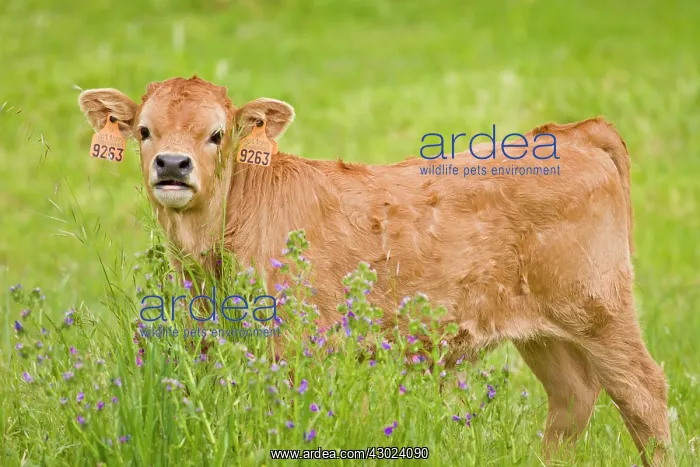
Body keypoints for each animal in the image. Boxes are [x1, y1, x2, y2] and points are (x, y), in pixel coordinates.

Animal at [78, 75, 671, 466]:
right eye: (145, 131)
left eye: (217, 134)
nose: (172, 166)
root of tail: (571, 132)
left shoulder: (298, 346)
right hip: (543, 329)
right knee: (573, 397)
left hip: (599, 310)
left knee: (644, 395)